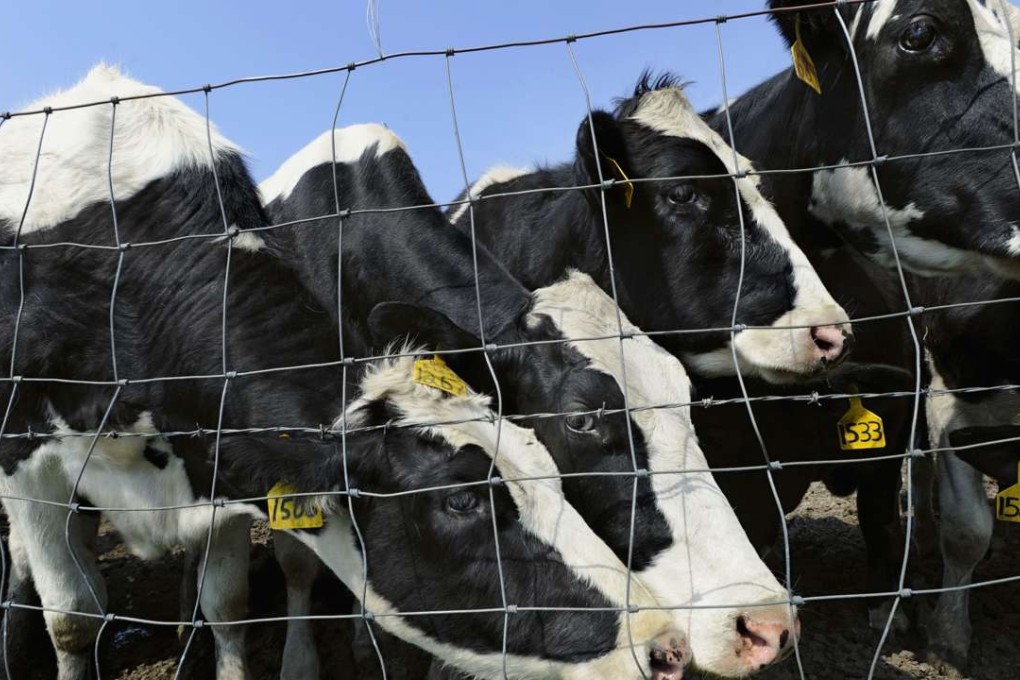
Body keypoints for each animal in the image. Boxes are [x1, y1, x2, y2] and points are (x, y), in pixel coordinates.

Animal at [0, 65, 689, 680]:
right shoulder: (27, 460)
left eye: (549, 465)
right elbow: (73, 617)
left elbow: (228, 607)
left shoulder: (221, 456)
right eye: (461, 499)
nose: (665, 647)